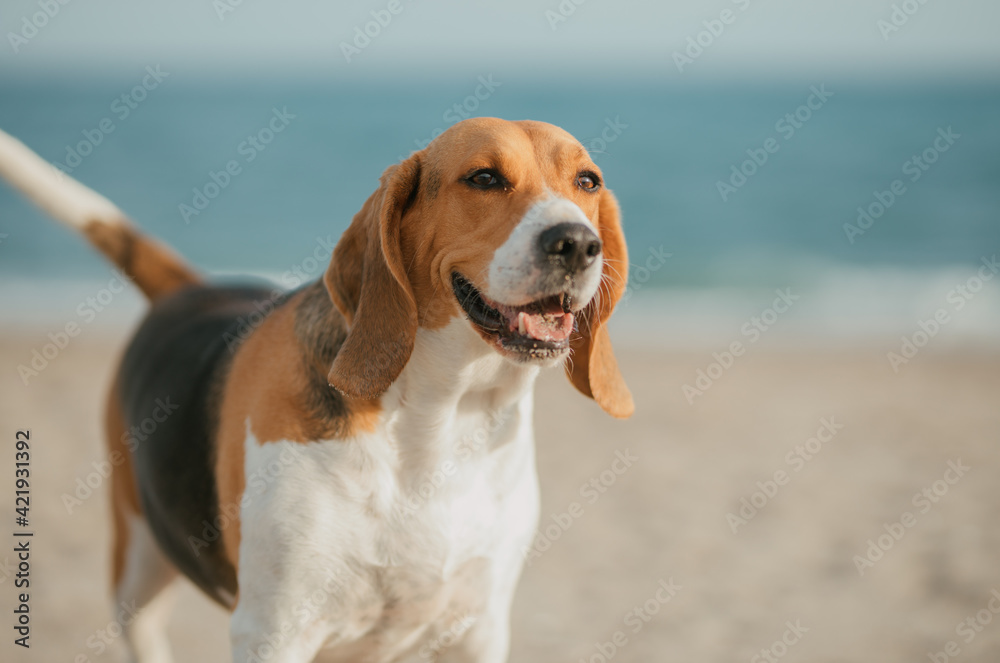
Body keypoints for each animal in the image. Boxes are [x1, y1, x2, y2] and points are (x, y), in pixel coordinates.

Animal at [0, 119, 632, 663]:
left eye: (588, 182)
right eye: (484, 178)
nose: (577, 243)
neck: (443, 419)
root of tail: (191, 289)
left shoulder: (476, 631)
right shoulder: (273, 631)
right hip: (136, 569)